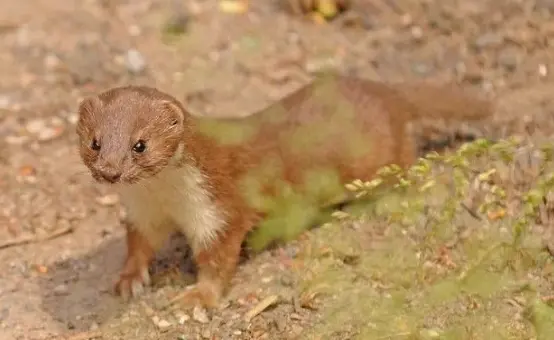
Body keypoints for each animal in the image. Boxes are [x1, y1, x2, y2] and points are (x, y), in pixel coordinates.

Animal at [75, 73, 494, 306]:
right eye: (95, 142)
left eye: (140, 144)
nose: (110, 172)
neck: (167, 199)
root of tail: (386, 93)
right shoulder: (144, 212)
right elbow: (138, 244)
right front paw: (129, 279)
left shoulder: (218, 208)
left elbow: (218, 259)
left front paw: (198, 297)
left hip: (384, 158)